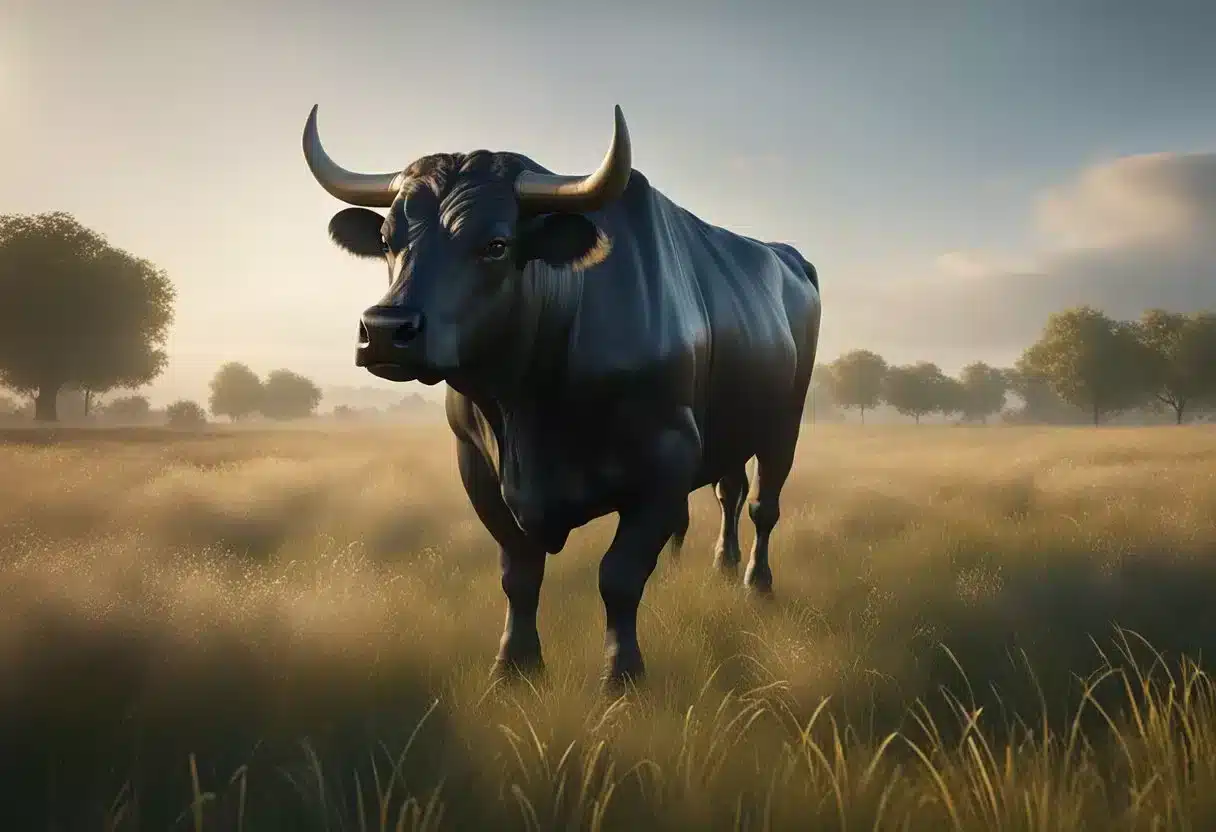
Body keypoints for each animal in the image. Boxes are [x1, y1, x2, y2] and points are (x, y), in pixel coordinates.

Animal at [302, 104, 822, 690]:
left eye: (496, 244)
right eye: (388, 240)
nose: (385, 330)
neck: (527, 407)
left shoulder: (667, 458)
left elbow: (619, 576)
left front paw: (622, 677)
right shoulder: (476, 463)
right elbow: (519, 572)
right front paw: (514, 666)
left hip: (785, 424)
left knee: (762, 506)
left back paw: (757, 583)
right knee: (727, 493)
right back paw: (719, 566)